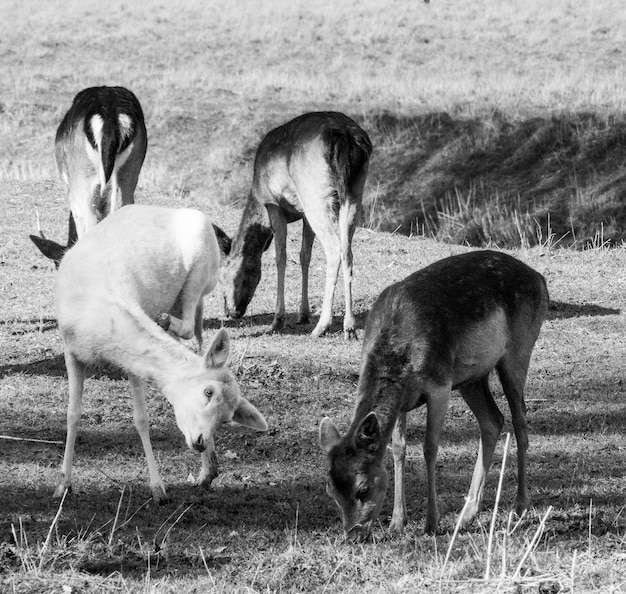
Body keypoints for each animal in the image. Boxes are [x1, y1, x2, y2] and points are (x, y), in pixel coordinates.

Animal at [53, 202, 266, 500]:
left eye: (227, 419)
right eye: (208, 392)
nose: (201, 441)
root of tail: (162, 207)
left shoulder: (131, 362)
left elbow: (141, 418)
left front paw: (158, 489)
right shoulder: (70, 350)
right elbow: (72, 415)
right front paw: (63, 485)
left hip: (201, 280)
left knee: (189, 328)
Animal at [218, 110, 370, 338]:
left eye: (221, 276)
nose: (232, 311)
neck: (256, 195)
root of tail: (345, 138)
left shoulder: (274, 205)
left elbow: (281, 257)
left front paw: (277, 320)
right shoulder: (304, 214)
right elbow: (304, 255)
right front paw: (303, 314)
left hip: (314, 193)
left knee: (334, 249)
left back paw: (322, 325)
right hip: (354, 191)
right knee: (347, 250)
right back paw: (349, 326)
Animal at [316, 247, 544, 540]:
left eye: (363, 488)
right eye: (330, 490)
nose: (353, 534)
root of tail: (540, 279)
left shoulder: (440, 384)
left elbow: (430, 447)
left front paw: (432, 523)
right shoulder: (404, 400)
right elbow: (398, 448)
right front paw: (397, 522)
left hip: (517, 351)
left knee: (520, 421)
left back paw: (520, 506)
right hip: (471, 377)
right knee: (492, 420)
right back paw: (467, 514)